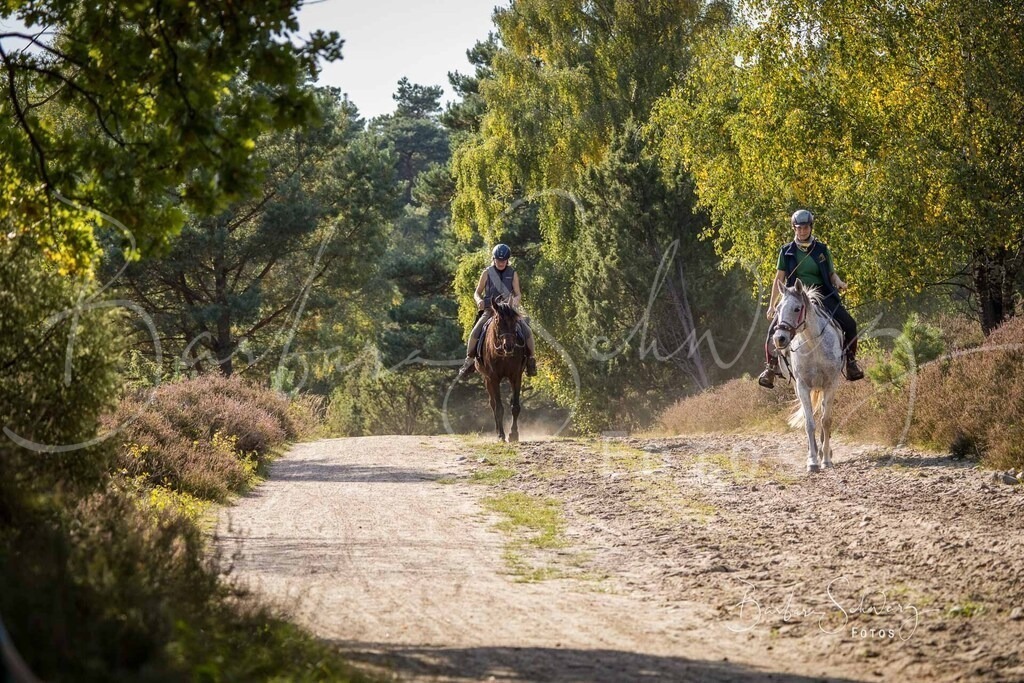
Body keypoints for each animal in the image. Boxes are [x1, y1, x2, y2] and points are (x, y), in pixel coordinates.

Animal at [477, 298, 527, 442]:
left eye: (515, 321)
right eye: (498, 320)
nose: (508, 346)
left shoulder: (516, 376)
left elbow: (515, 406)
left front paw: (514, 434)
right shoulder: (493, 378)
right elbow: (499, 408)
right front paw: (501, 435)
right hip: (487, 379)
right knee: (493, 404)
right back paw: (498, 431)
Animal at [772, 280, 845, 472]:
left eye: (797, 308)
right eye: (778, 309)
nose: (779, 338)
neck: (814, 344)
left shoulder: (831, 385)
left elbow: (826, 421)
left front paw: (826, 459)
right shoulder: (802, 386)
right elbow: (809, 423)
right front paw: (812, 461)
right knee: (809, 416)